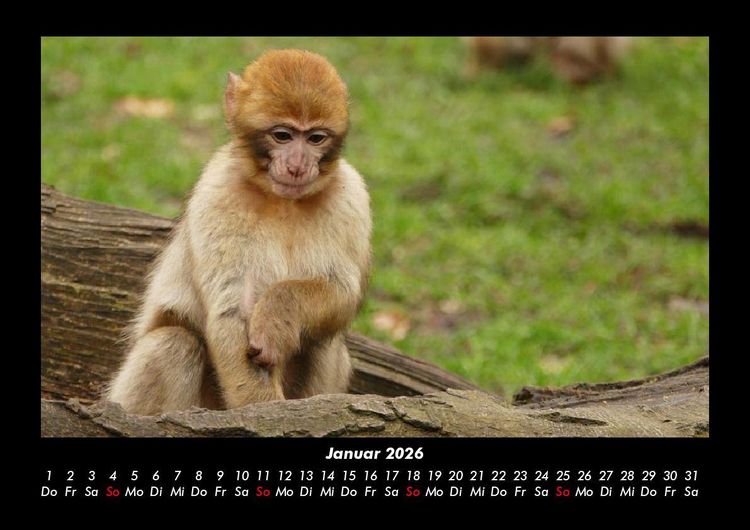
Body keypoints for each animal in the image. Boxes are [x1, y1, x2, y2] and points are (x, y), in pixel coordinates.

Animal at [106, 49, 372, 415]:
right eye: (283, 135)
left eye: (315, 138)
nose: (297, 166)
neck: (283, 201)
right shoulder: (218, 192)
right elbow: (233, 308)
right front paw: (267, 413)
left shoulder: (351, 196)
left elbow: (341, 290)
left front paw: (278, 314)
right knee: (173, 343)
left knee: (324, 342)